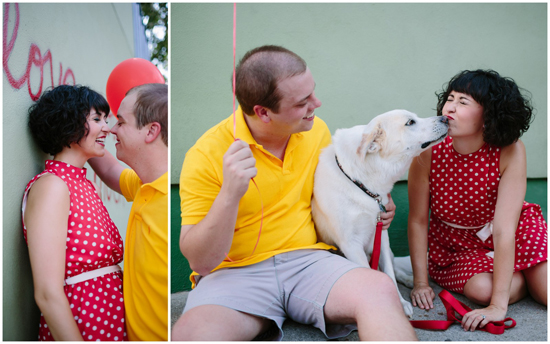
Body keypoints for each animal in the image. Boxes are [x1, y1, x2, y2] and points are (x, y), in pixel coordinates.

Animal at [314, 109, 448, 318]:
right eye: (410, 122)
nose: (446, 118)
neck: (362, 182)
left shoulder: (382, 234)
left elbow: (390, 275)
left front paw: (400, 303)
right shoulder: (351, 245)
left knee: (394, 268)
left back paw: (408, 280)